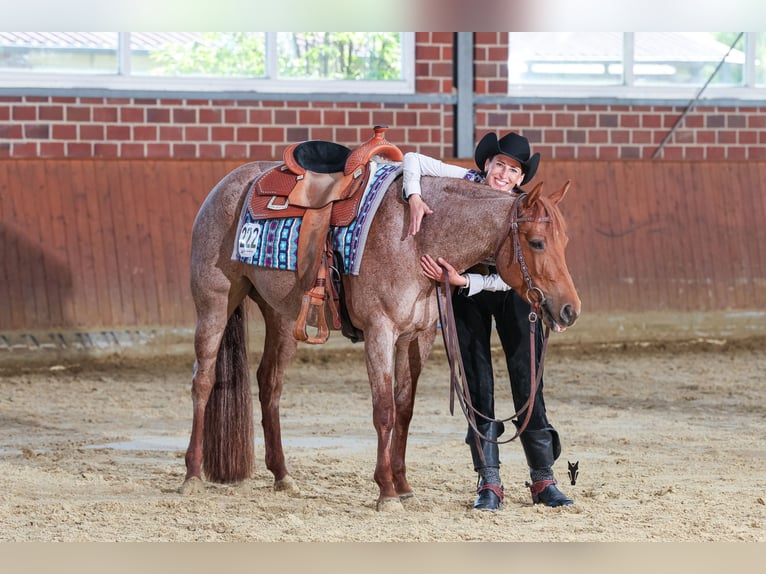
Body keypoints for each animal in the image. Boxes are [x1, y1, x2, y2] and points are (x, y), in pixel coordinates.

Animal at [180, 158, 581, 511]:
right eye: (537, 242)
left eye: (565, 241)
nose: (569, 310)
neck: (417, 240)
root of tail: (228, 184)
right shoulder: (380, 331)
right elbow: (384, 410)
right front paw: (386, 492)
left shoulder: (417, 336)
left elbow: (404, 409)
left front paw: (403, 486)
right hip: (215, 303)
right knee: (203, 381)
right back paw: (192, 476)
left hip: (281, 315)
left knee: (270, 384)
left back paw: (282, 475)